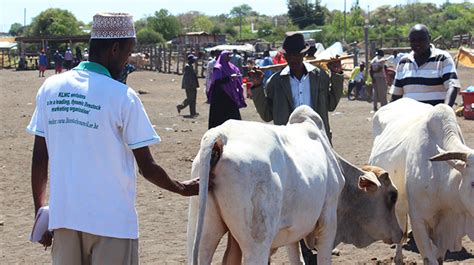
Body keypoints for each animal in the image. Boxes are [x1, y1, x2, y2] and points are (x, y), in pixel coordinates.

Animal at [187, 105, 402, 264]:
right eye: (392, 196)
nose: (400, 233)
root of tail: (221, 136)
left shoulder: (291, 231)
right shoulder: (328, 222)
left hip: (203, 233)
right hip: (256, 244)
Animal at [370, 98, 474, 262]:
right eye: (473, 183)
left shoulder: (445, 227)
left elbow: (439, 258)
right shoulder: (419, 221)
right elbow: (429, 259)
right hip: (399, 207)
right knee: (400, 234)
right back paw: (398, 258)